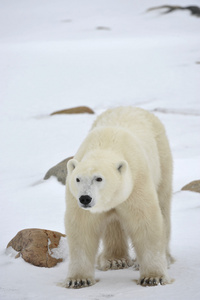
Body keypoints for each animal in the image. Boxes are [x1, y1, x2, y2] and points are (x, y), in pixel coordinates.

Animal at [63, 107, 173, 288]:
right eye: (78, 179)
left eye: (99, 178)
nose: (85, 198)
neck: (105, 146)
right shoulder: (76, 199)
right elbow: (82, 228)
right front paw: (78, 279)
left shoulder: (136, 183)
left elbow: (145, 223)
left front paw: (153, 277)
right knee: (113, 225)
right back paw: (115, 260)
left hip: (162, 158)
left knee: (163, 205)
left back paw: (165, 258)